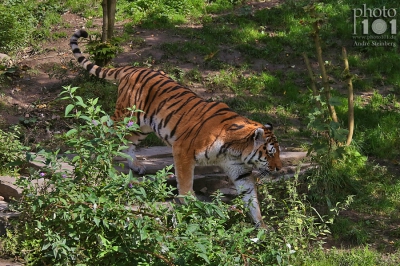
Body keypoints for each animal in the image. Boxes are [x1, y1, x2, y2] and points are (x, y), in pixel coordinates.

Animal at [69, 29, 282, 227]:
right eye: (270, 153)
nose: (279, 168)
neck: (235, 150)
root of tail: (132, 68)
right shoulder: (183, 151)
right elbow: (186, 181)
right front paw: (189, 204)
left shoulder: (239, 169)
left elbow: (250, 196)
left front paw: (262, 227)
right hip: (125, 115)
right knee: (105, 128)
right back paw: (92, 157)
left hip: (142, 126)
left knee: (127, 142)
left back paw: (135, 165)